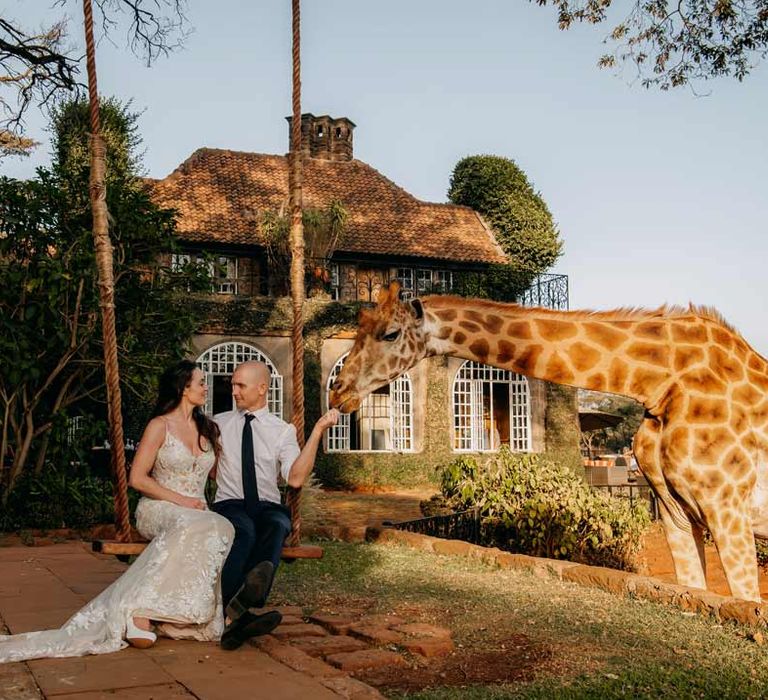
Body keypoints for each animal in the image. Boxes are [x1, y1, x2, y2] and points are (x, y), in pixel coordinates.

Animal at [328, 282, 768, 600]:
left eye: (390, 333)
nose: (338, 391)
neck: (657, 385)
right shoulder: (676, 512)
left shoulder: (726, 508)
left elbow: (746, 603)